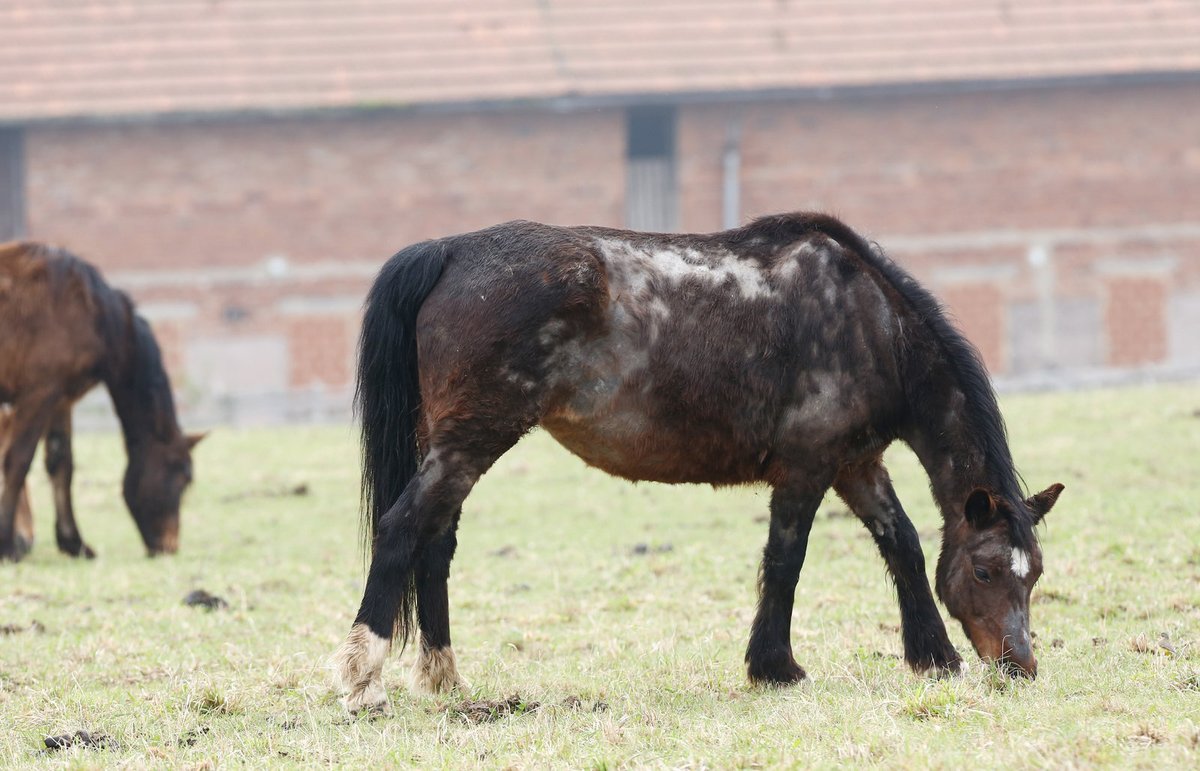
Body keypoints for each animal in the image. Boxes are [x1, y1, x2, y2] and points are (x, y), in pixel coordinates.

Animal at [0, 242, 202, 562]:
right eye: (182, 478)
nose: (169, 546)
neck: (96, 314)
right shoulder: (38, 393)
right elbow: (18, 461)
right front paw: (7, 546)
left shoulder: (60, 398)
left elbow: (61, 463)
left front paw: (74, 543)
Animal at [333, 210, 1065, 710]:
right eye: (985, 569)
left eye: (1033, 574)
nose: (1020, 665)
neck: (869, 323)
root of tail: (451, 250)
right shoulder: (807, 467)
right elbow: (786, 561)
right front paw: (775, 666)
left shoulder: (856, 466)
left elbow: (904, 546)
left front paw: (934, 656)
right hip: (472, 439)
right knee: (402, 528)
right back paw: (363, 678)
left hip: (455, 442)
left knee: (434, 544)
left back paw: (444, 678)